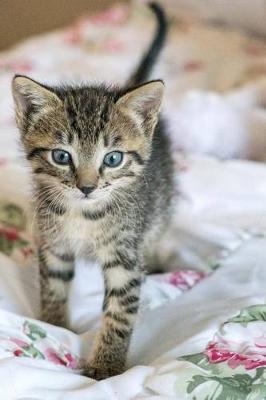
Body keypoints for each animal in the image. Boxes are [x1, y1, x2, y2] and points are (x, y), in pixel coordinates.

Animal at [11, 3, 174, 380]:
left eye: (112, 159)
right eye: (61, 156)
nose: (86, 187)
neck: (83, 214)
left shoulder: (125, 256)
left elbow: (119, 312)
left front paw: (106, 365)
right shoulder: (53, 243)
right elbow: (53, 287)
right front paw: (54, 324)